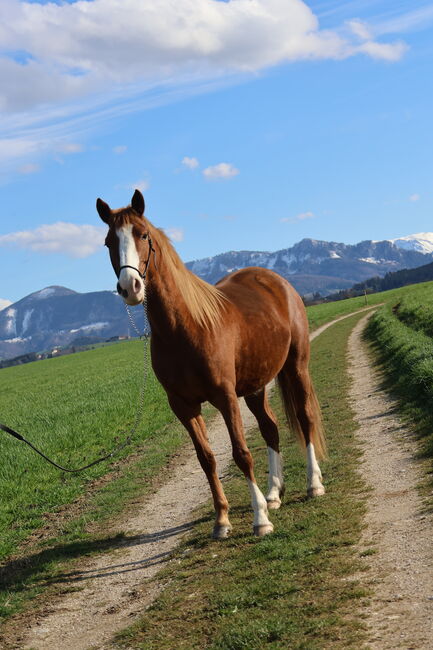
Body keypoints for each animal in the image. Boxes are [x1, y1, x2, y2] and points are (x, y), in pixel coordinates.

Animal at [97, 191, 324, 536]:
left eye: (143, 235)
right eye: (109, 241)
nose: (130, 287)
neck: (184, 328)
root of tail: (275, 280)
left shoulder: (225, 397)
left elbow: (241, 454)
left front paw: (259, 520)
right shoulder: (183, 406)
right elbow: (206, 459)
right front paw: (221, 519)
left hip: (296, 368)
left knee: (305, 417)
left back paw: (313, 485)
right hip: (255, 385)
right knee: (270, 428)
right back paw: (274, 493)